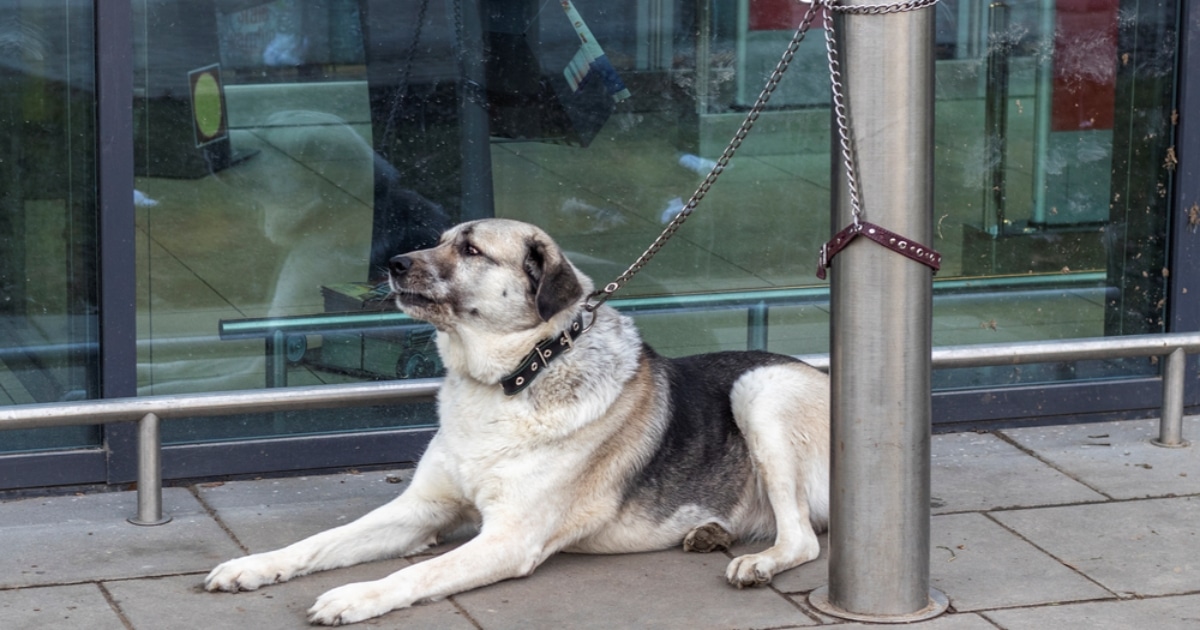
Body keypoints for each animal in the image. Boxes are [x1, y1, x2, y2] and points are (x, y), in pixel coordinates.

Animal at [201, 217, 830, 624]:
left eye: (473, 251)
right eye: (439, 240)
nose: (393, 263)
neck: (512, 378)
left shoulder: (508, 538)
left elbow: (417, 574)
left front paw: (354, 597)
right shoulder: (421, 509)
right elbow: (322, 541)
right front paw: (254, 566)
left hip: (760, 389)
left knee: (801, 538)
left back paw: (759, 562)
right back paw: (708, 531)